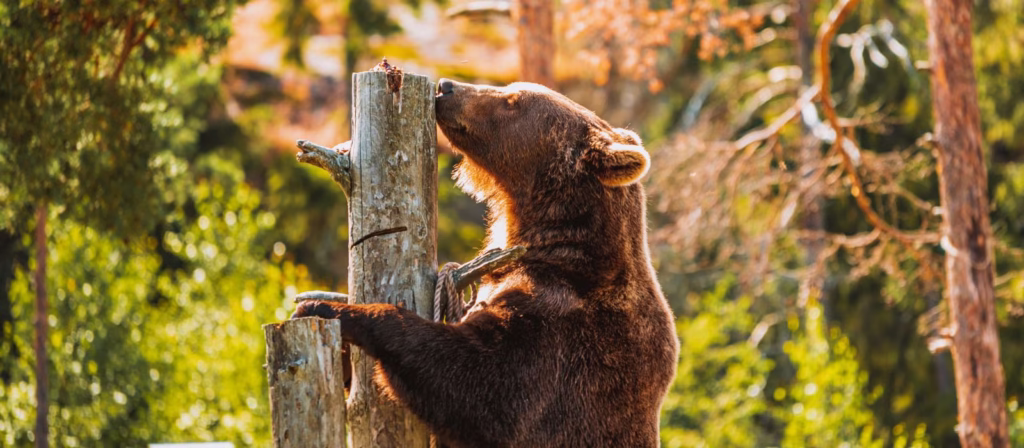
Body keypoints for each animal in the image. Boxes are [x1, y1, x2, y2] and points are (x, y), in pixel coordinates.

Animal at [292, 79, 679, 447]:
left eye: (512, 101)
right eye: (511, 90)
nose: (447, 86)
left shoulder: (565, 336)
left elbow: (480, 387)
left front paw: (328, 308)